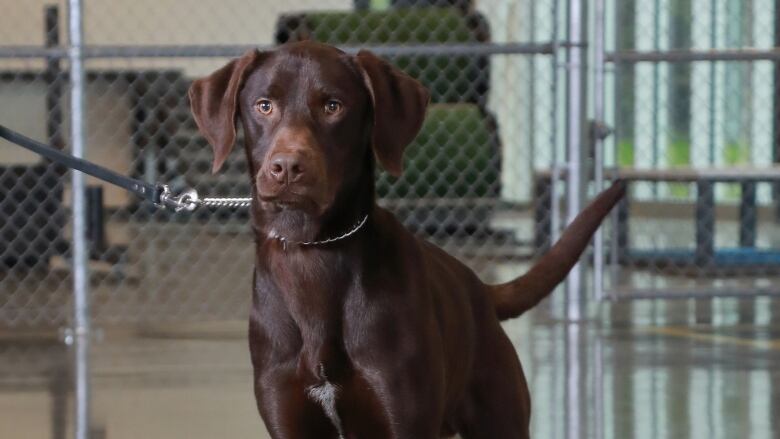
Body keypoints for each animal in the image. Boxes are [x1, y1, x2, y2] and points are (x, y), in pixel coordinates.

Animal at [190, 42, 628, 439]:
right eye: (264, 105)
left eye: (333, 106)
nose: (286, 167)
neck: (311, 254)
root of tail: (480, 291)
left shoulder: (404, 417)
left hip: (499, 418)